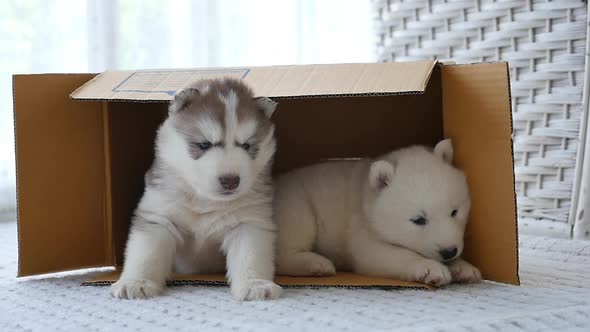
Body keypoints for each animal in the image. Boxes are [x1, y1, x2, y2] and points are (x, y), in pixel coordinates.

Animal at [114, 78, 286, 300]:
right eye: (204, 144)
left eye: (247, 146)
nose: (231, 180)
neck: (204, 199)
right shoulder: (159, 217)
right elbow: (146, 254)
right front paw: (136, 282)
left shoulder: (249, 222)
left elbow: (250, 255)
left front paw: (255, 284)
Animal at [276, 139, 484, 286]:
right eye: (418, 219)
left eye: (454, 211)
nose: (449, 251)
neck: (366, 196)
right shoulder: (361, 227)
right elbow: (380, 254)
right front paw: (431, 268)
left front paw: (464, 268)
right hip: (297, 205)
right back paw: (317, 263)